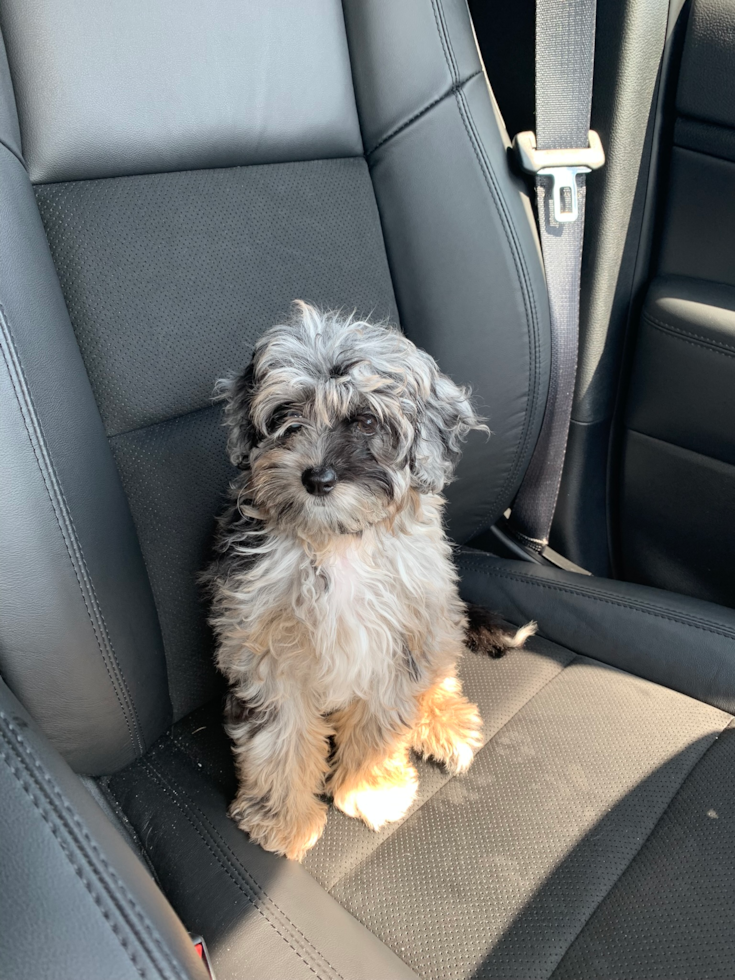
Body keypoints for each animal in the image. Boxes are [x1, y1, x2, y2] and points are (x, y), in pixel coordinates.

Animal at [206, 304, 536, 856]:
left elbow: (381, 724)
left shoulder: (395, 639)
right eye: (285, 416)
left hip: (437, 614)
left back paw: (445, 720)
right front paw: (283, 820)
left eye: (365, 420)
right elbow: (277, 738)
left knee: (440, 668)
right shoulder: (263, 649)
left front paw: (371, 788)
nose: (317, 478)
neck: (336, 539)